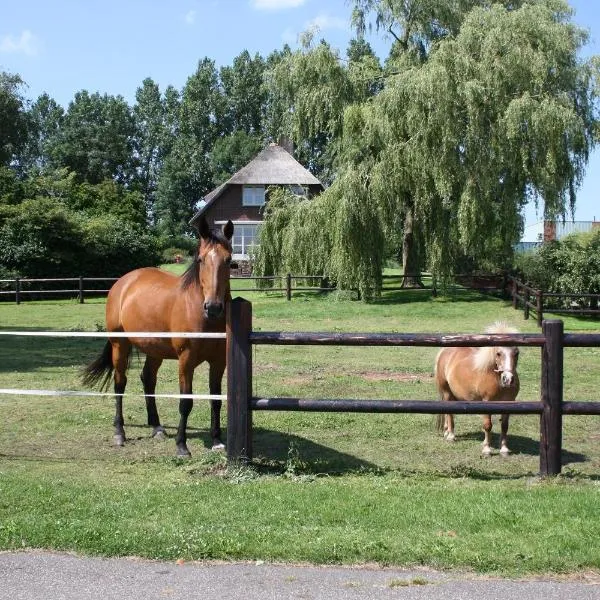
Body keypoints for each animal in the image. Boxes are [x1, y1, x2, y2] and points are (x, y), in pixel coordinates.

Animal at [83, 218, 233, 458]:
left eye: (228, 260)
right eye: (201, 259)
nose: (213, 307)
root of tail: (123, 282)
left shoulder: (219, 361)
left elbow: (216, 399)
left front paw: (218, 441)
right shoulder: (186, 360)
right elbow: (186, 402)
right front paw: (181, 446)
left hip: (154, 350)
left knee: (148, 380)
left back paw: (157, 427)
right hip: (120, 345)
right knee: (120, 383)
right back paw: (119, 433)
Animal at [436, 324, 520, 454]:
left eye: (516, 353)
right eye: (498, 353)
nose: (508, 379)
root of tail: (445, 351)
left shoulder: (509, 403)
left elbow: (505, 426)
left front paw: (504, 449)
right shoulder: (486, 402)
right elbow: (488, 425)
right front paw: (486, 449)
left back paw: (446, 431)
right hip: (446, 392)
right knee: (449, 413)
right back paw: (451, 436)